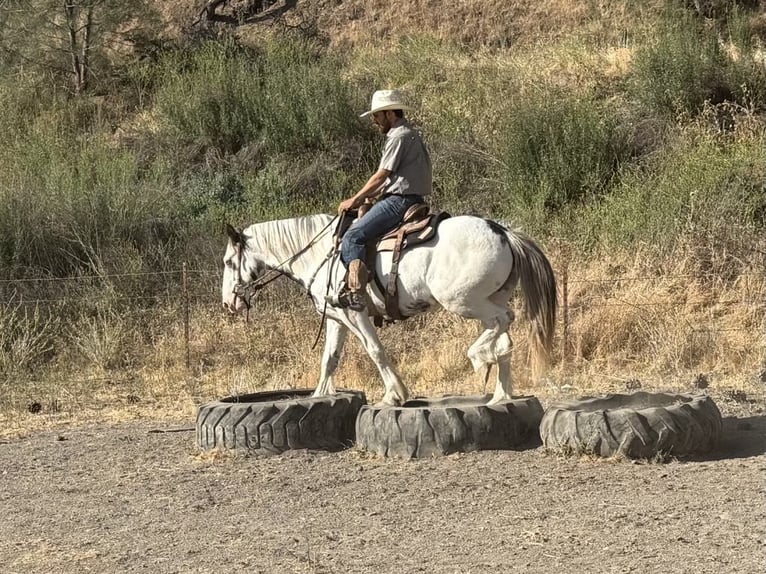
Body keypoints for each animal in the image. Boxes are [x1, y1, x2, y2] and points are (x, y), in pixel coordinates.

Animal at [221, 214, 557, 406]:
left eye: (227, 261)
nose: (228, 303)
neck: (320, 254)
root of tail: (502, 231)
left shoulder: (355, 313)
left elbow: (375, 351)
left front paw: (395, 394)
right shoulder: (337, 319)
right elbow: (329, 360)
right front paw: (318, 397)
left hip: (463, 301)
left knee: (503, 322)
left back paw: (479, 357)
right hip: (488, 299)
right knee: (504, 338)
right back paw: (501, 393)